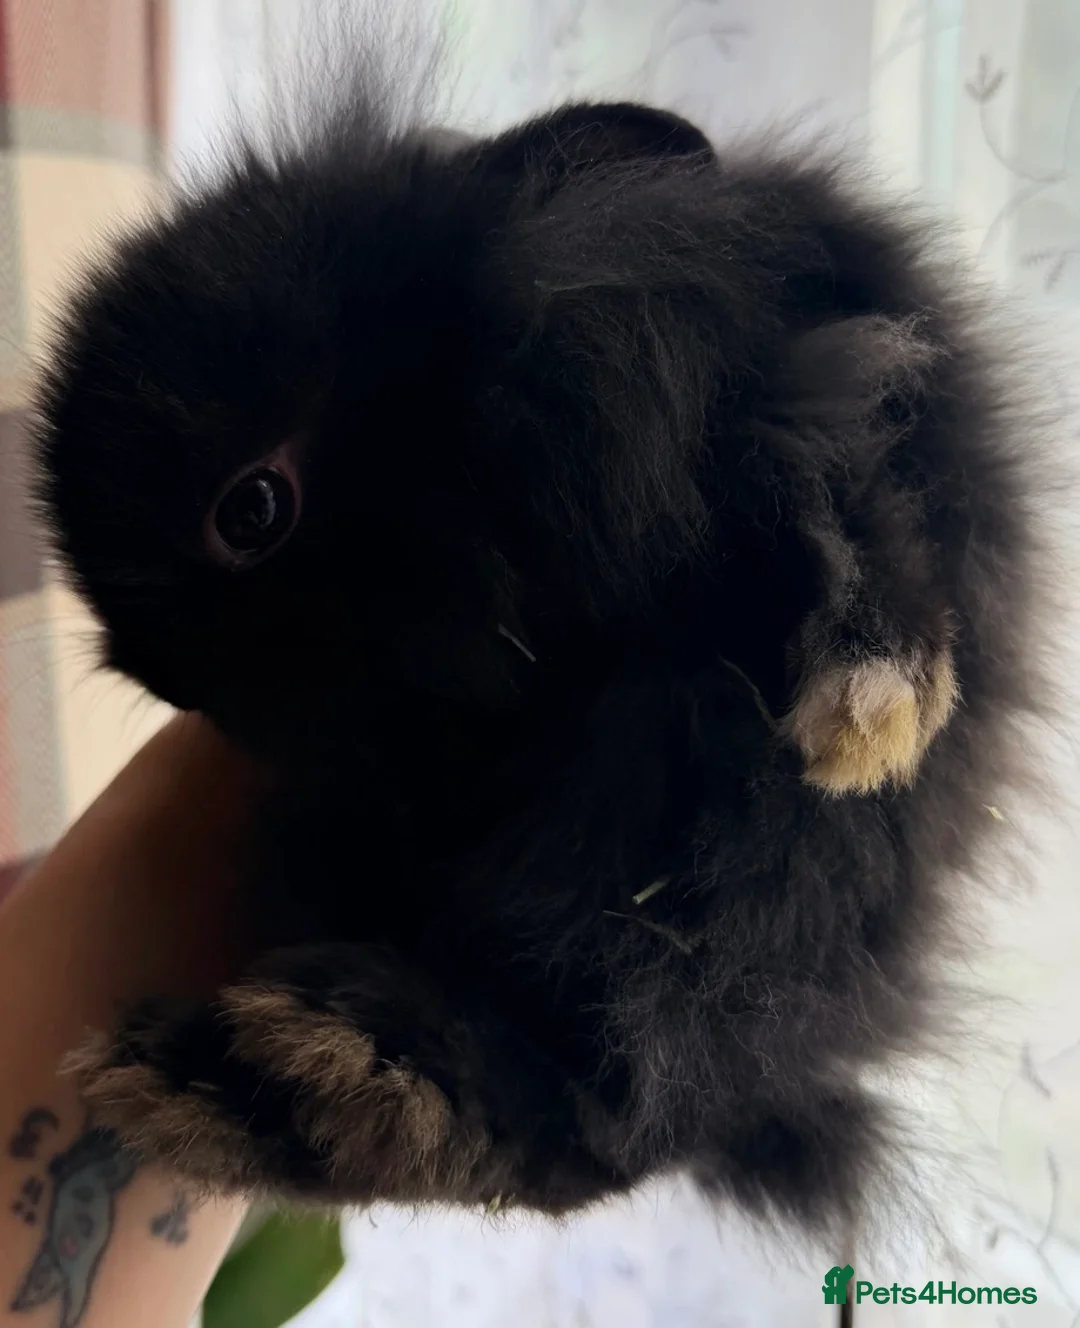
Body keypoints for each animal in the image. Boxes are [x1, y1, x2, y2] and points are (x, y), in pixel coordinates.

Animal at [32, 89, 1051, 1238]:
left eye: (252, 509)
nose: (169, 685)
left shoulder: (834, 382)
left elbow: (847, 482)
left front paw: (872, 713)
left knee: (617, 1094)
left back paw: (300, 1076)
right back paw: (245, 1082)